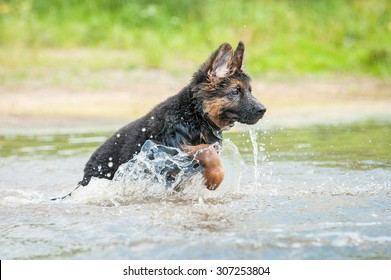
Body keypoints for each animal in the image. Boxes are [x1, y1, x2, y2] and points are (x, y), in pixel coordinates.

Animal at [79, 41, 266, 190]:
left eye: (250, 91)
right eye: (235, 91)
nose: (263, 110)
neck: (195, 115)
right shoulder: (168, 147)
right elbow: (206, 150)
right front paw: (215, 178)